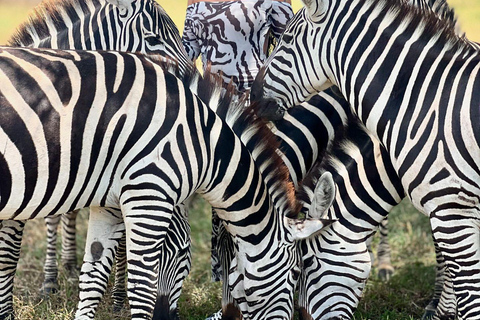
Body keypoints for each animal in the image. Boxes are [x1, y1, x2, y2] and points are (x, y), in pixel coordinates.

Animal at [0, 46, 336, 318]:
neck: (204, 143)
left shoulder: (108, 205)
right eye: (295, 274)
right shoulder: (149, 195)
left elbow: (93, 278)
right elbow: (141, 287)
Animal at [251, 0, 480, 318]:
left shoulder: (451, 206)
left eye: (307, 263)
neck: (424, 106)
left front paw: (444, 308)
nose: (253, 97)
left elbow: (470, 292)